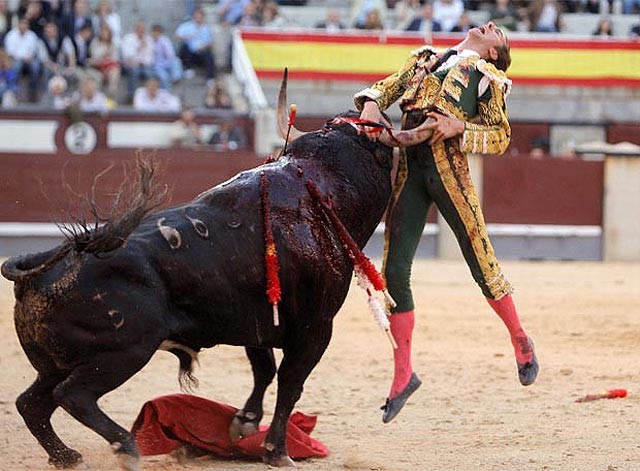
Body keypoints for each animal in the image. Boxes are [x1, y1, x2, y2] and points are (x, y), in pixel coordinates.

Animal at [2, 111, 400, 468]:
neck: (324, 184)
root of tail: (48, 260)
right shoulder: (315, 327)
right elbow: (290, 382)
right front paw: (277, 451)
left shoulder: (257, 322)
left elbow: (264, 370)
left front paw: (243, 424)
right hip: (124, 352)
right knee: (73, 396)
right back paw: (127, 448)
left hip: (56, 362)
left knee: (32, 403)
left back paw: (67, 456)